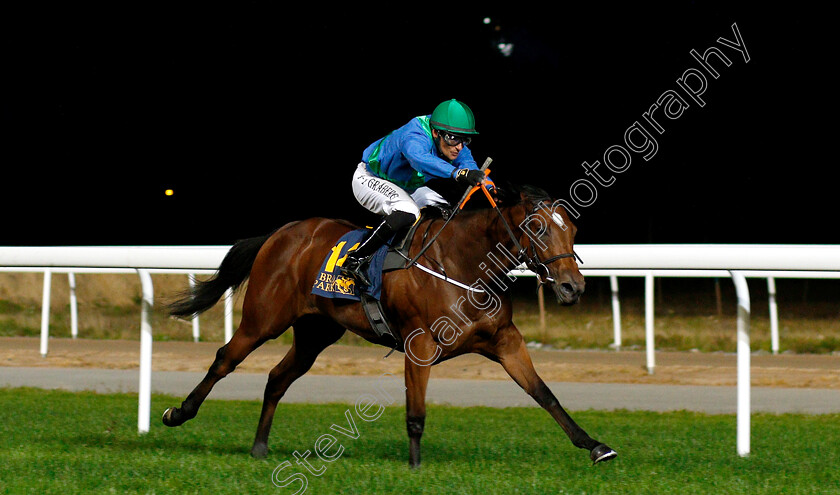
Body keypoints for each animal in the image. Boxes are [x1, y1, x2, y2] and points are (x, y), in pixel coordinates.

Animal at [162, 184, 616, 466]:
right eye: (536, 227)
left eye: (573, 228)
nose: (573, 287)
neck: (463, 265)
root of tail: (281, 233)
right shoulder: (420, 344)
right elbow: (416, 412)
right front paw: (415, 468)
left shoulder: (506, 342)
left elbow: (545, 394)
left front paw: (595, 446)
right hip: (263, 320)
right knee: (225, 359)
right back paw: (178, 413)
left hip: (315, 333)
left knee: (277, 378)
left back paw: (259, 446)